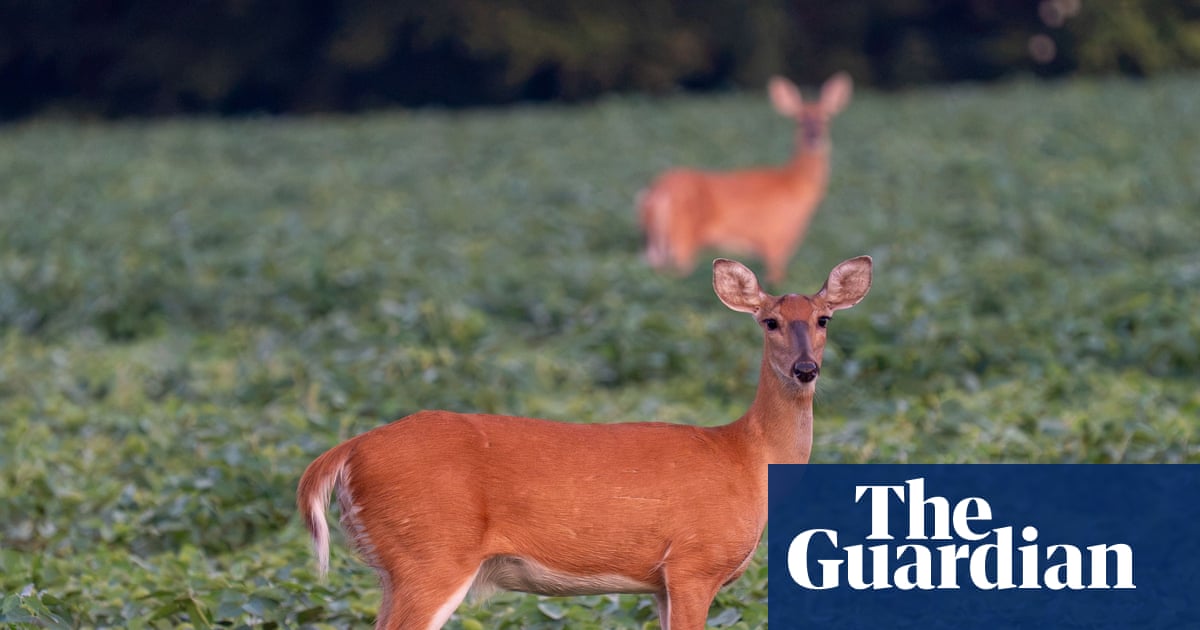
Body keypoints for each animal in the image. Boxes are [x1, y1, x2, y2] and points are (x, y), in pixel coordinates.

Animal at [297, 255, 872, 630]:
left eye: (823, 318)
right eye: (770, 321)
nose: (805, 369)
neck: (748, 457)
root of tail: (346, 451)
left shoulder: (660, 583)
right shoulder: (694, 563)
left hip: (396, 565)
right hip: (430, 552)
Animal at [639, 73, 853, 285]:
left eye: (826, 119)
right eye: (799, 120)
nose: (815, 138)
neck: (793, 183)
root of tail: (658, 193)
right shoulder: (776, 239)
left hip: (655, 242)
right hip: (683, 238)